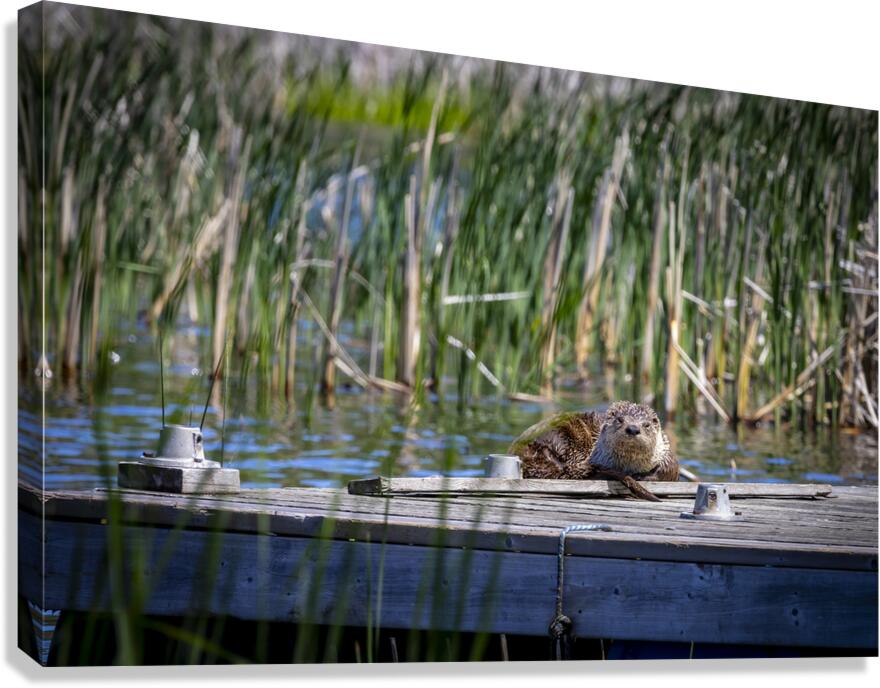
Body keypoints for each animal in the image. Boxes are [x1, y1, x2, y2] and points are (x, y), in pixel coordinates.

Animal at [508, 401, 678, 501]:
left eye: (646, 424)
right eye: (620, 420)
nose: (633, 428)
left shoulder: (665, 452)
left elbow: (670, 470)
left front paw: (645, 476)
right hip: (559, 434)